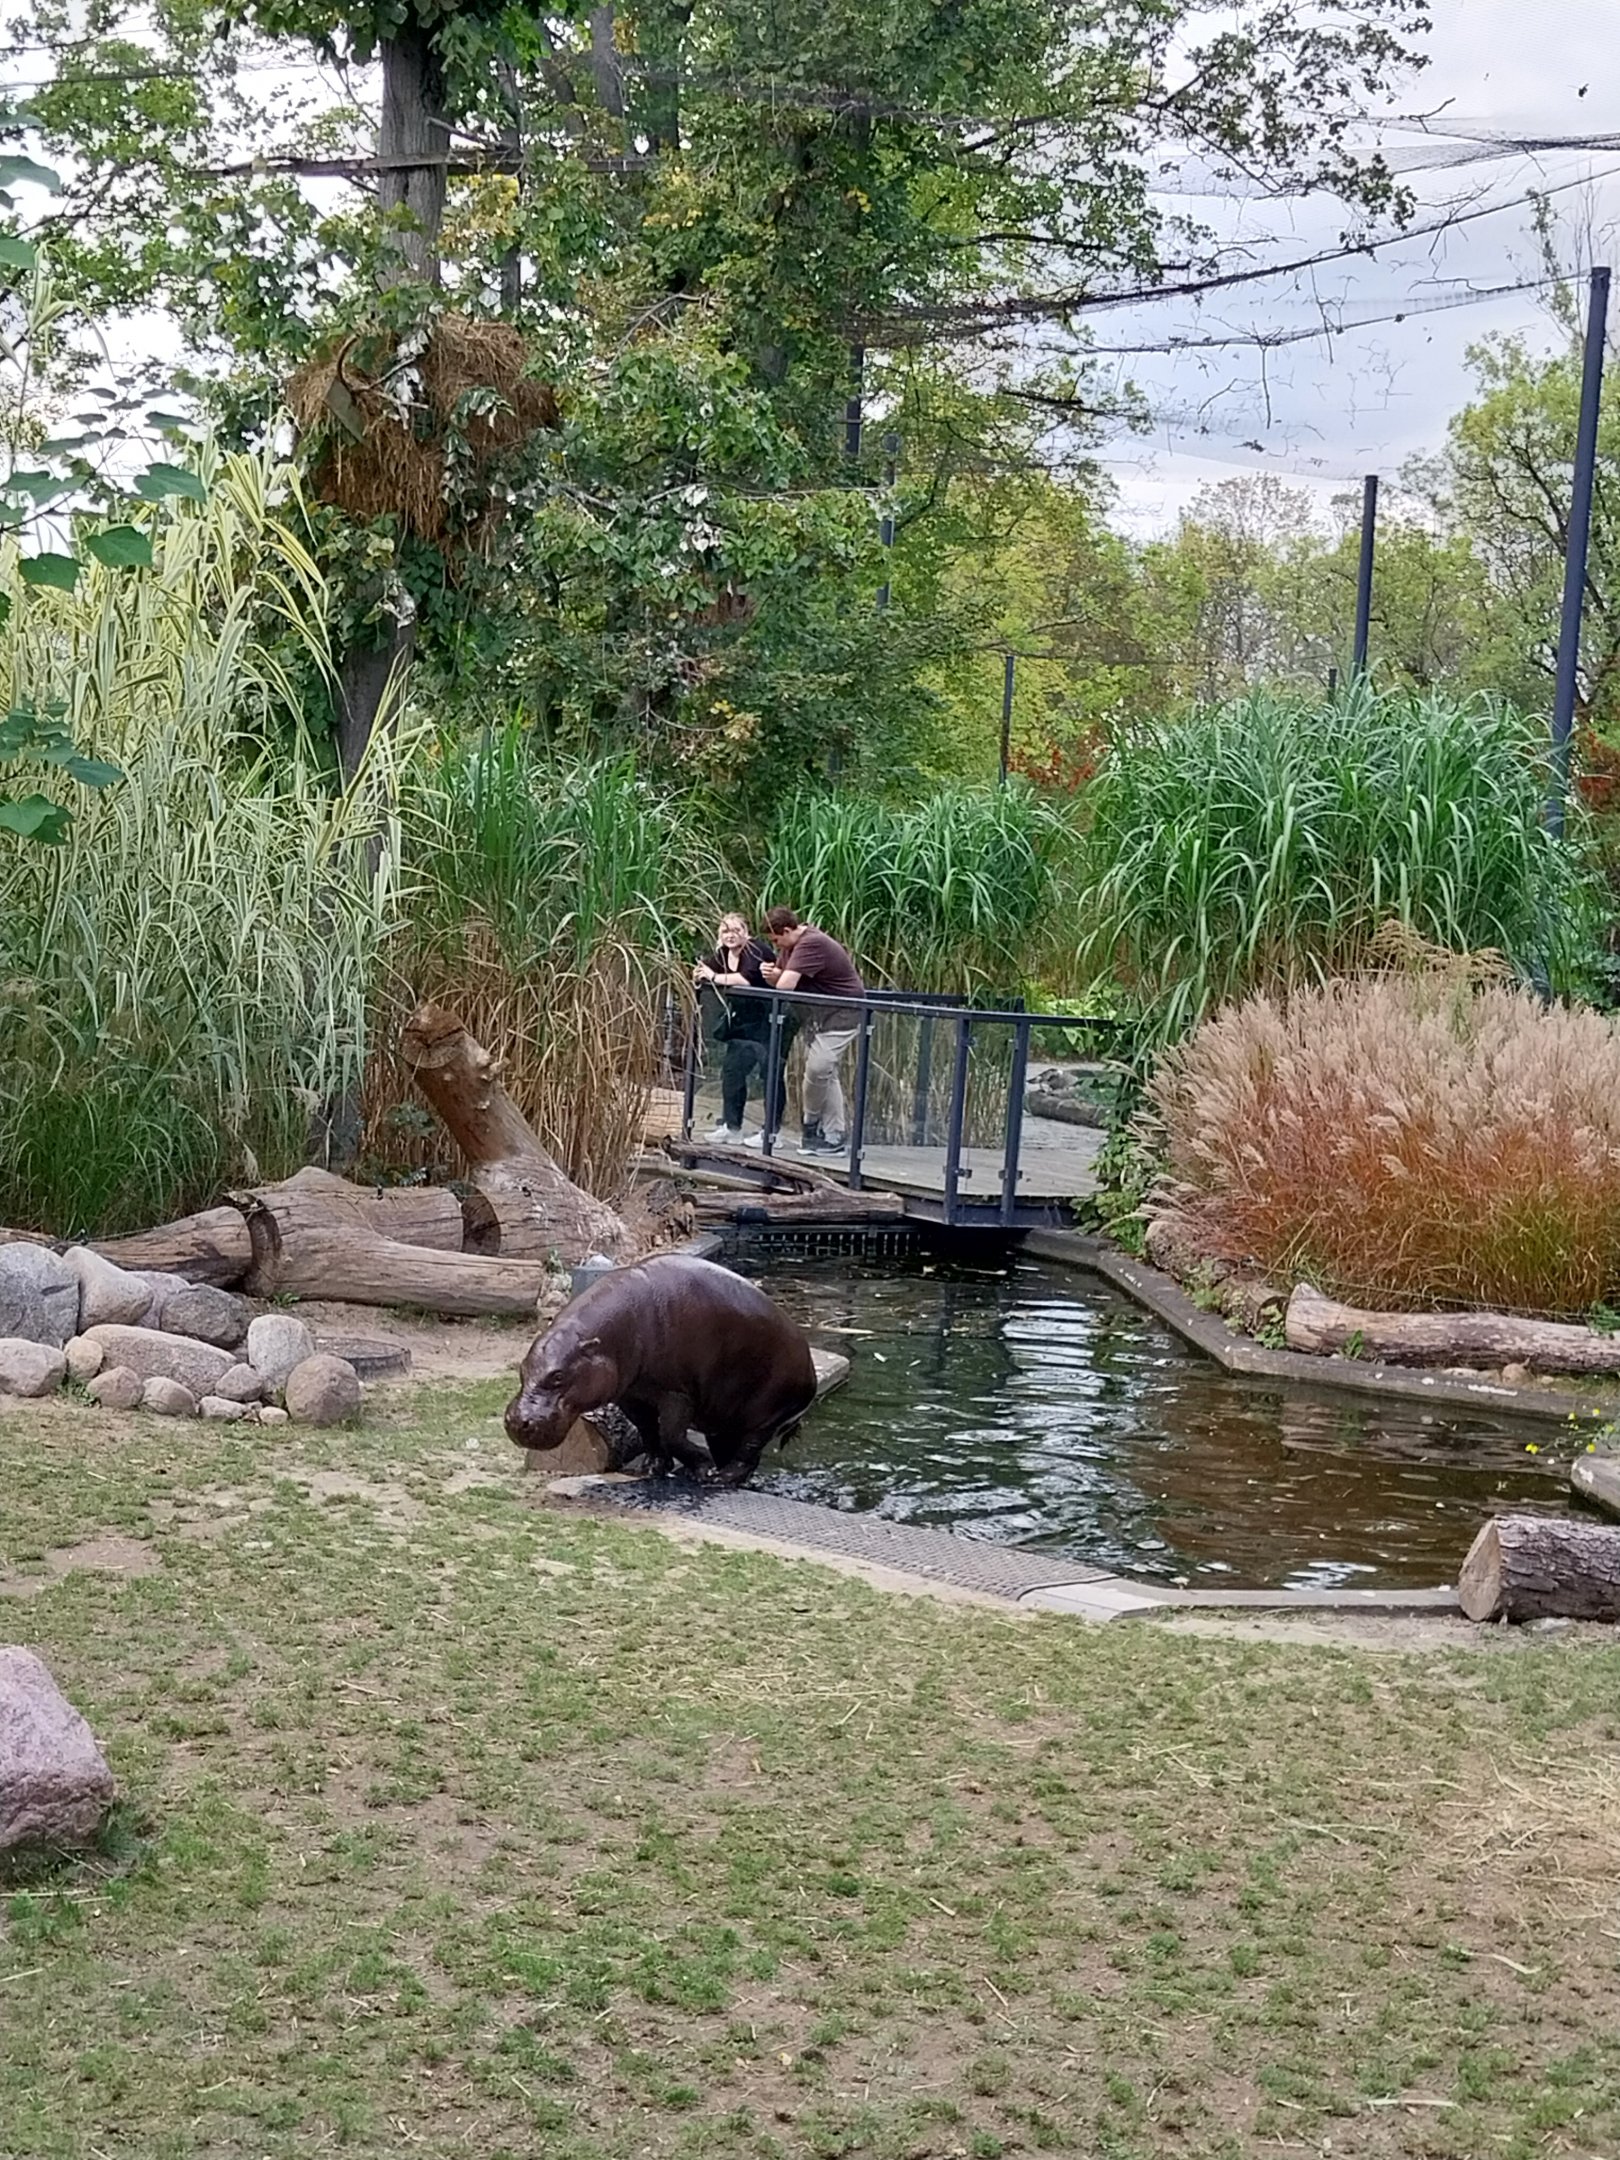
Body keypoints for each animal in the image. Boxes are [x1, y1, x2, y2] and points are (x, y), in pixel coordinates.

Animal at [505, 1253, 818, 1485]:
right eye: (523, 1367)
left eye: (558, 1376)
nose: (518, 1421)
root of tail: (810, 1369)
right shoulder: (630, 1393)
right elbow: (647, 1430)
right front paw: (652, 1468)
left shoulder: (677, 1393)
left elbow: (670, 1434)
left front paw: (700, 1470)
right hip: (725, 1420)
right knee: (733, 1449)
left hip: (770, 1415)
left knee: (749, 1452)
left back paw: (720, 1478)